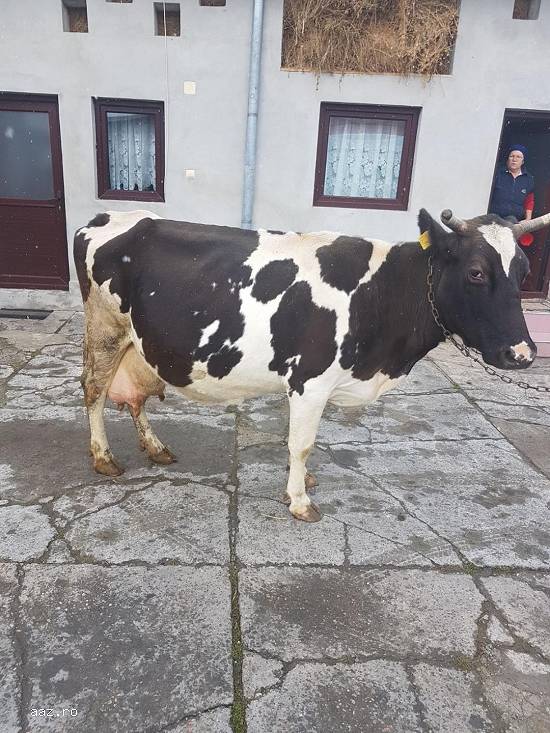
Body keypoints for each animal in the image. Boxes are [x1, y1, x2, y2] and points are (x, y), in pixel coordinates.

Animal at [74, 208, 548, 522]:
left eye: (523, 270)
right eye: (476, 272)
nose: (523, 353)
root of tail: (107, 216)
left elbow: (300, 443)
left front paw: (303, 482)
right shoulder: (311, 380)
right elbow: (300, 443)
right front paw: (300, 500)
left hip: (136, 345)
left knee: (134, 398)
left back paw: (155, 447)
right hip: (104, 329)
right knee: (94, 390)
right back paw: (104, 457)